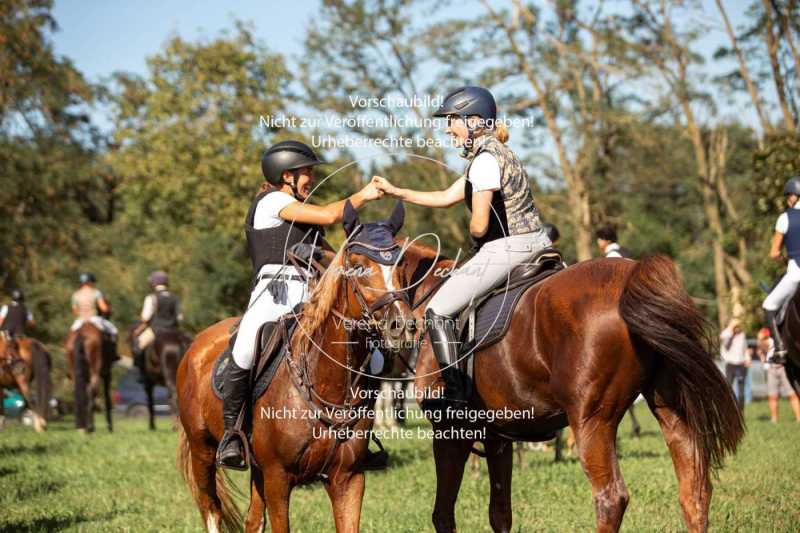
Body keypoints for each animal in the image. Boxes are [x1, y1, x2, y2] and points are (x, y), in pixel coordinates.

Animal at [178, 205, 416, 532]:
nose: (401, 326)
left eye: (402, 263)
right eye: (357, 265)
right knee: (210, 509)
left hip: (255, 469)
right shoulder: (278, 478)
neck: (326, 382)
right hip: (203, 450)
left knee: (253, 520)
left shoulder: (348, 480)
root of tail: (195, 345)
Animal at [404, 241, 748, 532]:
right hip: (670, 409)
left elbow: (443, 514)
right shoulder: (497, 436)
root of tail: (630, 277)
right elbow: (500, 512)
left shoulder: (450, 433)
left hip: (591, 420)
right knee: (694, 490)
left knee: (611, 498)